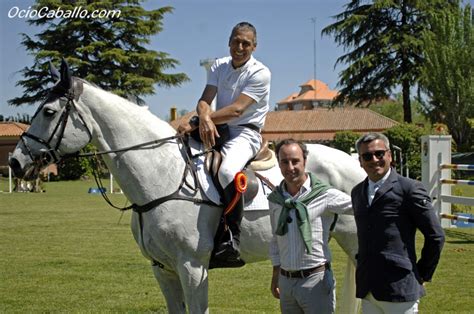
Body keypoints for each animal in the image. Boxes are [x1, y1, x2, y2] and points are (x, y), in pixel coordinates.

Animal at [7, 60, 364, 312]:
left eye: (48, 111)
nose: (15, 162)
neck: (162, 176)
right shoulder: (163, 270)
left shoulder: (193, 268)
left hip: (356, 243)